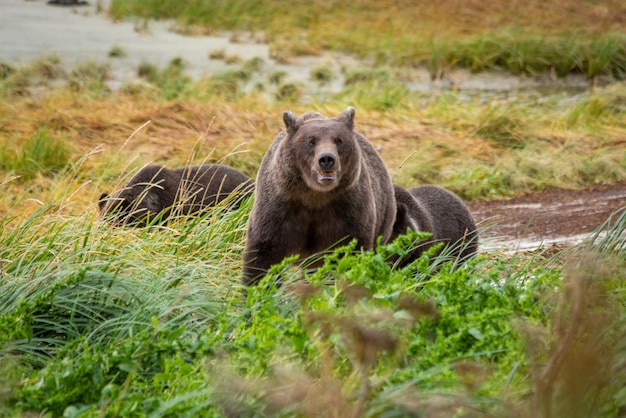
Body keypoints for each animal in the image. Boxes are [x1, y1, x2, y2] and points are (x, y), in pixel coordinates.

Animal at [240, 106, 392, 286]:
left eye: (338, 140)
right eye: (311, 141)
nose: (326, 159)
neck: (314, 195)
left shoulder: (349, 211)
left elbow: (350, 253)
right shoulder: (279, 208)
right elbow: (263, 254)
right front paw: (256, 286)